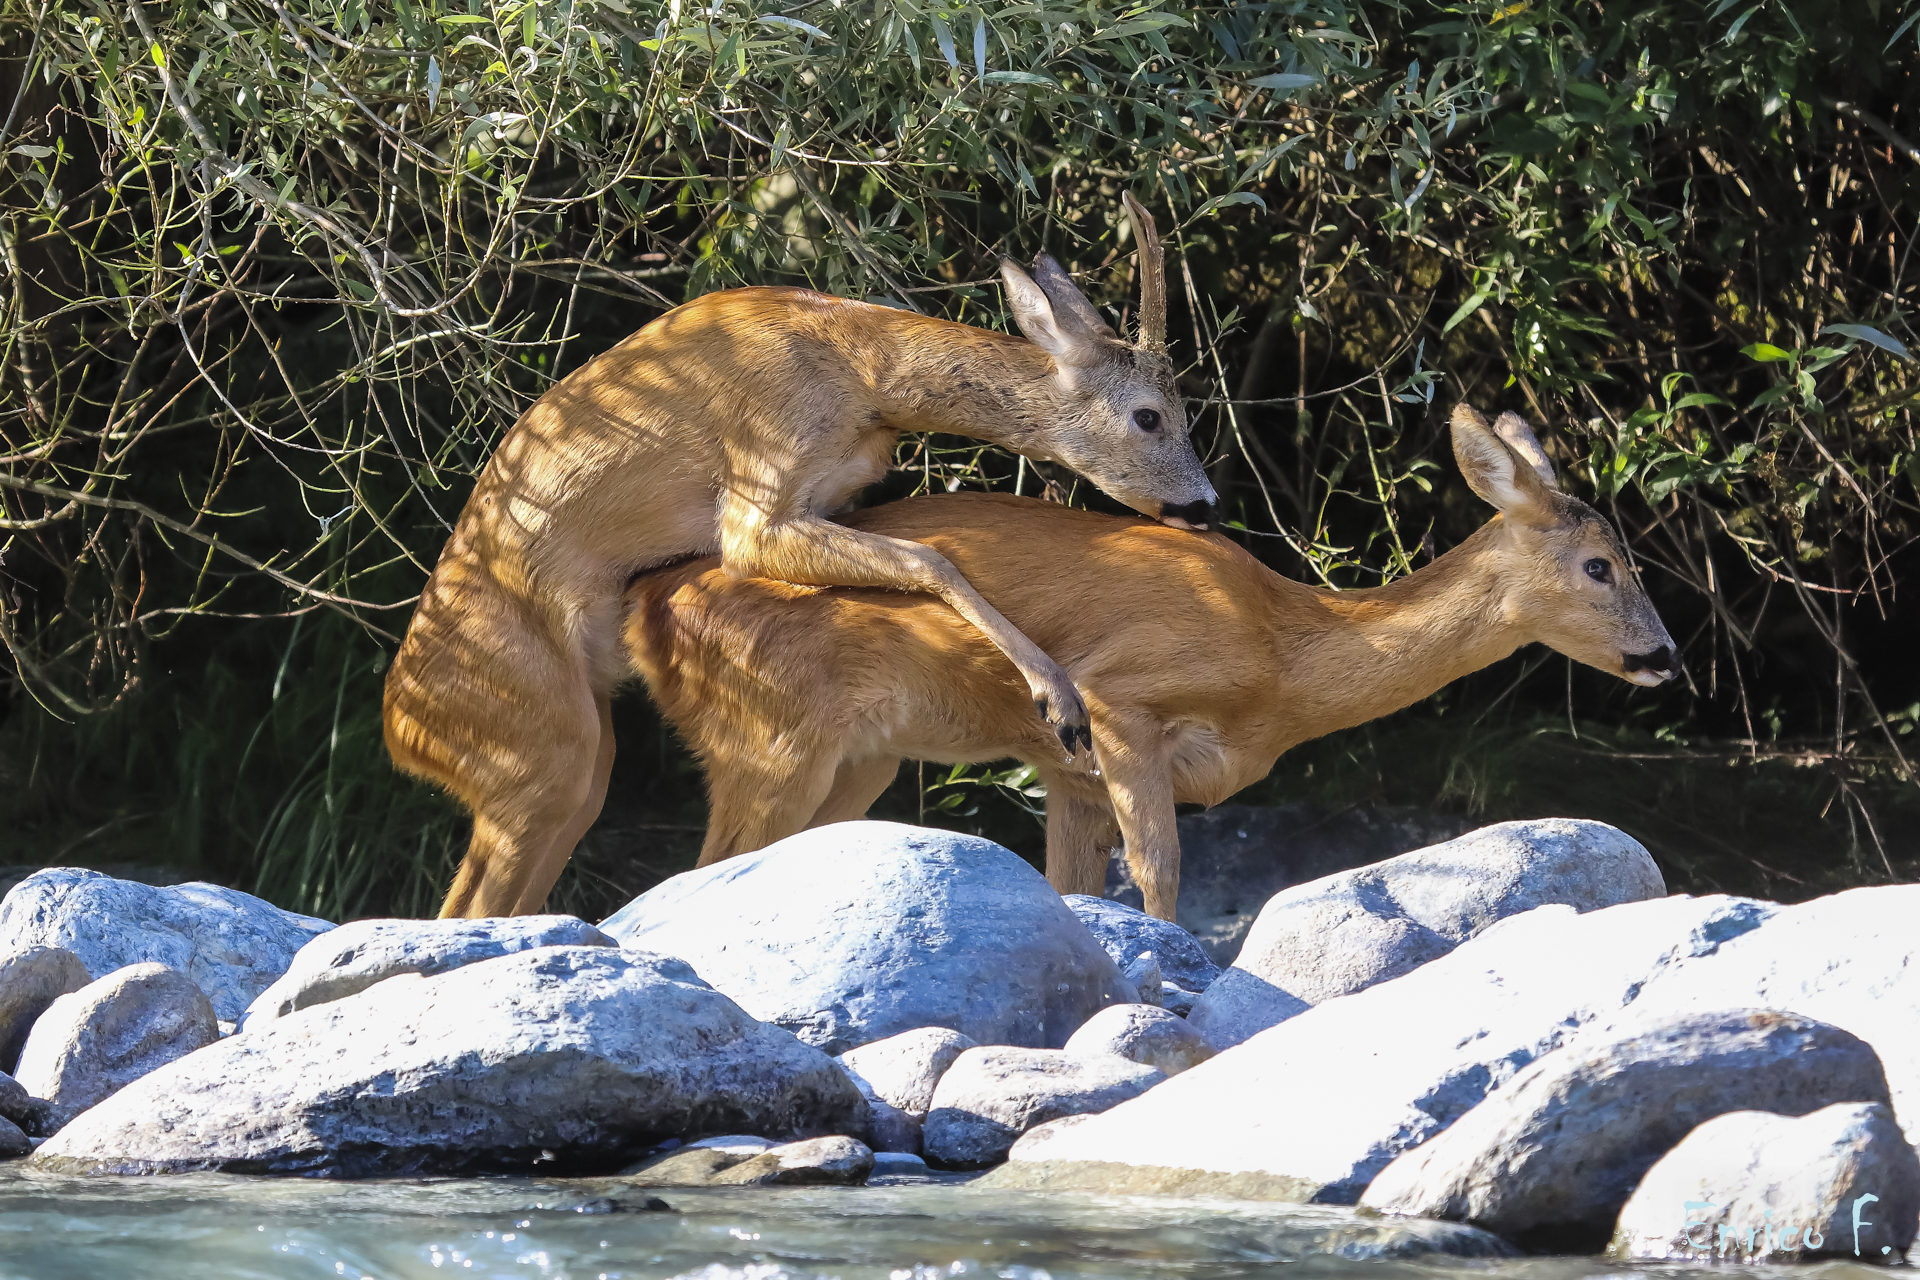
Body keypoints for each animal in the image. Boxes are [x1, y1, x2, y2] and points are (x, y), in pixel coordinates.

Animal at [384, 192, 1213, 921]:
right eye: (1149, 416)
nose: (1206, 506)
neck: (862, 373)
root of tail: (401, 730)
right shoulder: (757, 496)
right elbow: (930, 559)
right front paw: (1058, 701)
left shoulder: (834, 496)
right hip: (536, 746)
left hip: (572, 761)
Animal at [629, 404, 1681, 917]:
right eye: (1600, 565)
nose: (1667, 655)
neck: (1283, 657)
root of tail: (647, 611)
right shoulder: (1120, 698)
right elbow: (1163, 878)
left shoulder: (1068, 775)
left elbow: (1078, 895)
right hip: (770, 731)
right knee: (694, 871)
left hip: (859, 758)